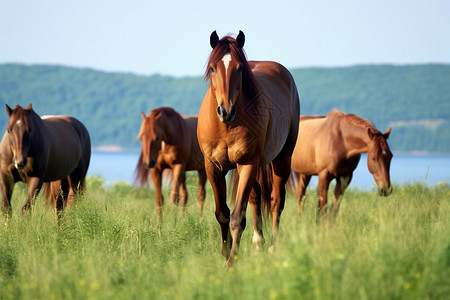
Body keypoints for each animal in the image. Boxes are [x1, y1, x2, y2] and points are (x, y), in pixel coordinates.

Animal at [198, 31, 300, 268]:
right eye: (213, 68)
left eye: (240, 68)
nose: (225, 110)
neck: (225, 126)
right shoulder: (213, 168)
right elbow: (222, 214)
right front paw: (226, 253)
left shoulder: (247, 164)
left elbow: (237, 217)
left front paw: (231, 263)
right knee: (255, 199)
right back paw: (257, 245)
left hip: (281, 159)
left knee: (276, 201)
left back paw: (271, 248)